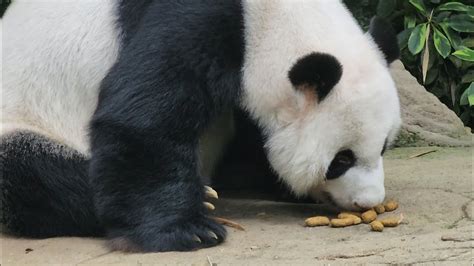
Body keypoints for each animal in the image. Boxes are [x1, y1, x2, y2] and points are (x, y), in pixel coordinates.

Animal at [0, 0, 400, 252]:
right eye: (341, 160)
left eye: (382, 147)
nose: (368, 201)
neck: (280, 17)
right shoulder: (204, 20)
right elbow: (143, 114)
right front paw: (187, 231)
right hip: (21, 120)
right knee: (34, 176)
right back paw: (202, 199)